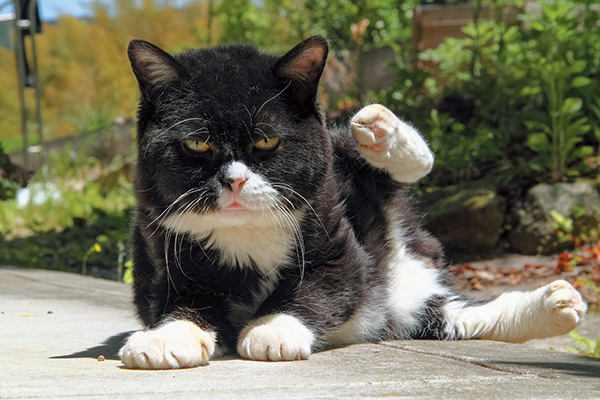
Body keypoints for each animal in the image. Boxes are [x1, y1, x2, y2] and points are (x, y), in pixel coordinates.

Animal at [119, 36, 588, 368]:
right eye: (197, 144)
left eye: (267, 141)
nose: (234, 181)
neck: (245, 233)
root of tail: (411, 261)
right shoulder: (163, 259)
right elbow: (184, 305)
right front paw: (165, 337)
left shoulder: (336, 241)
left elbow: (318, 287)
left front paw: (272, 328)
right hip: (410, 310)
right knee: (459, 316)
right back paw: (553, 305)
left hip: (339, 162)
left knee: (387, 164)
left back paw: (380, 131)